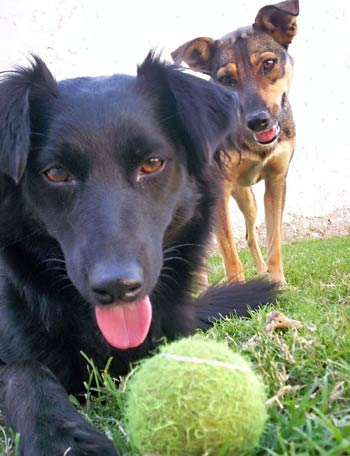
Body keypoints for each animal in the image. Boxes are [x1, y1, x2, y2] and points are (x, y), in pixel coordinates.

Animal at [172, 0, 298, 284]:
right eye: (226, 80)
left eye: (269, 63)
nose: (257, 121)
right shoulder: (218, 192)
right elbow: (229, 252)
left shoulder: (277, 180)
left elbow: (274, 242)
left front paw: (278, 283)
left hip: (247, 199)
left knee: (250, 235)